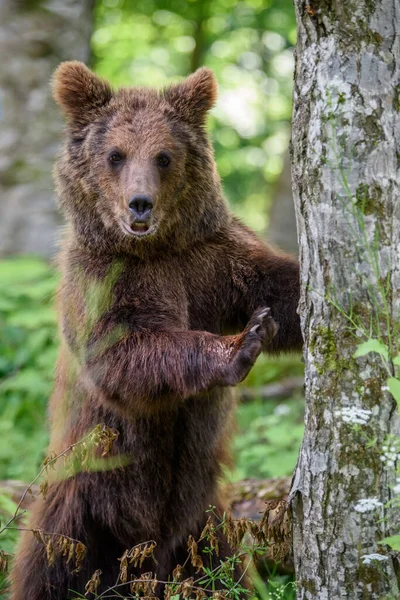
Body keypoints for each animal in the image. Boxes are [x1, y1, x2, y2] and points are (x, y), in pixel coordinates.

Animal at [10, 62, 302, 600]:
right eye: (115, 154)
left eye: (164, 155)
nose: (140, 204)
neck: (157, 249)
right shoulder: (105, 279)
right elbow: (123, 352)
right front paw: (242, 343)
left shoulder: (212, 261)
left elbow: (280, 284)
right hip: (80, 503)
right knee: (49, 568)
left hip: (204, 522)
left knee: (227, 570)